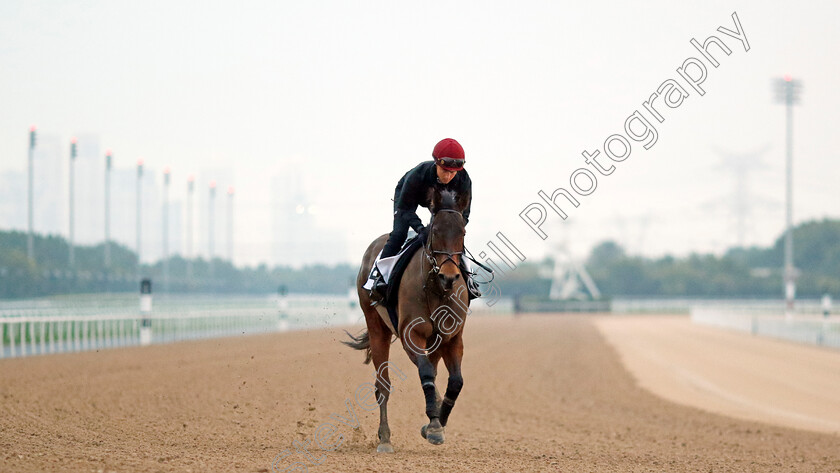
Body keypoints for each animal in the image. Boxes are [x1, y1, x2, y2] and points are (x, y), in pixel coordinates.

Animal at [342, 186, 472, 452]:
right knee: (383, 385)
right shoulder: (412, 335)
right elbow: (426, 373)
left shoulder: (452, 338)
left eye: (462, 232)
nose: (449, 277)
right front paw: (434, 426)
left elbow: (455, 382)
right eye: (435, 231)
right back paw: (384, 438)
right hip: (377, 327)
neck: (435, 289)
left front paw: (436, 422)